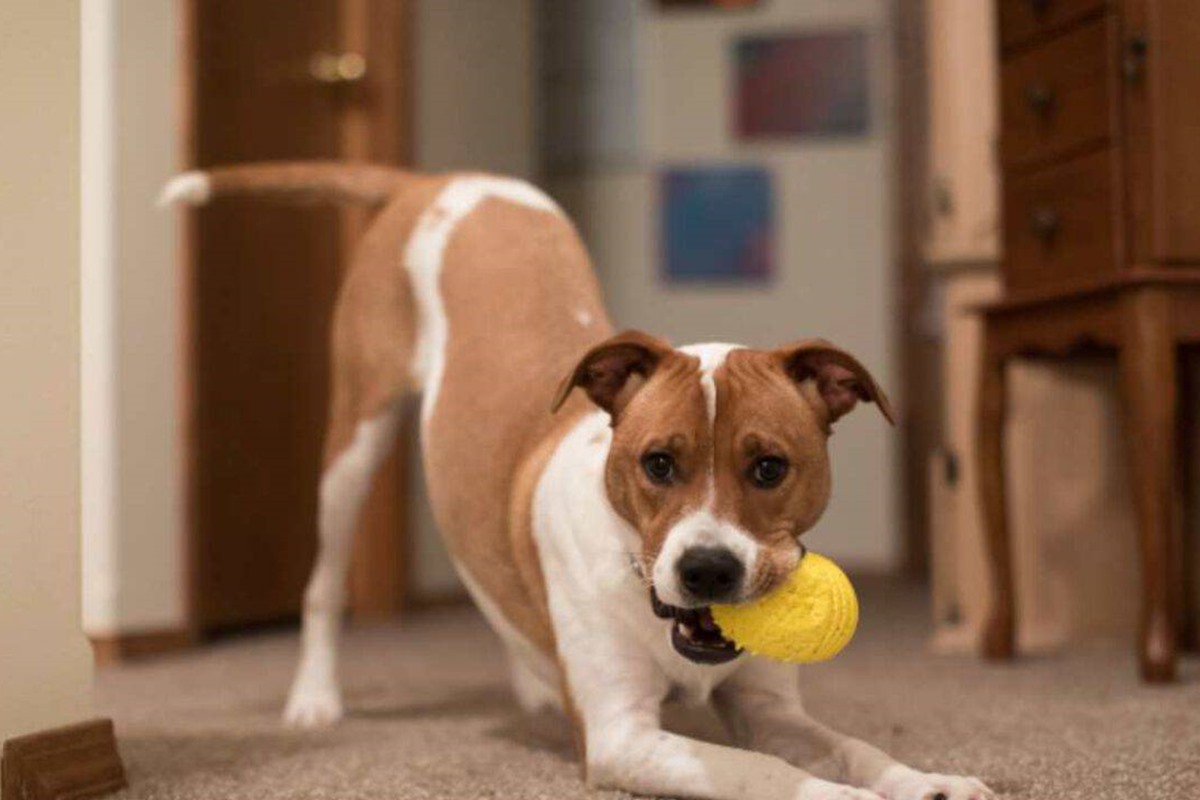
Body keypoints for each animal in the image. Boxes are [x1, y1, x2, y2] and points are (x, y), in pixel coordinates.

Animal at [166, 164, 993, 800]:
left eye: (769, 467)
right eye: (658, 463)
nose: (708, 568)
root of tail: (434, 179)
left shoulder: (769, 706)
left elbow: (854, 748)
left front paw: (928, 780)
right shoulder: (623, 736)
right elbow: (764, 774)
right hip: (353, 444)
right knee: (323, 583)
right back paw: (314, 699)